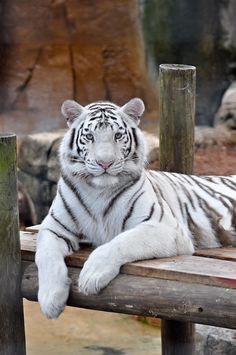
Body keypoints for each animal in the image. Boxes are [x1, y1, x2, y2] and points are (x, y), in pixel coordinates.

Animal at [35, 97, 236, 320]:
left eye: (118, 135)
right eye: (89, 136)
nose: (105, 163)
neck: (98, 191)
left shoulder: (165, 227)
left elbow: (121, 242)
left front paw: (91, 276)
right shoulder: (54, 227)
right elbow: (45, 254)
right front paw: (50, 299)